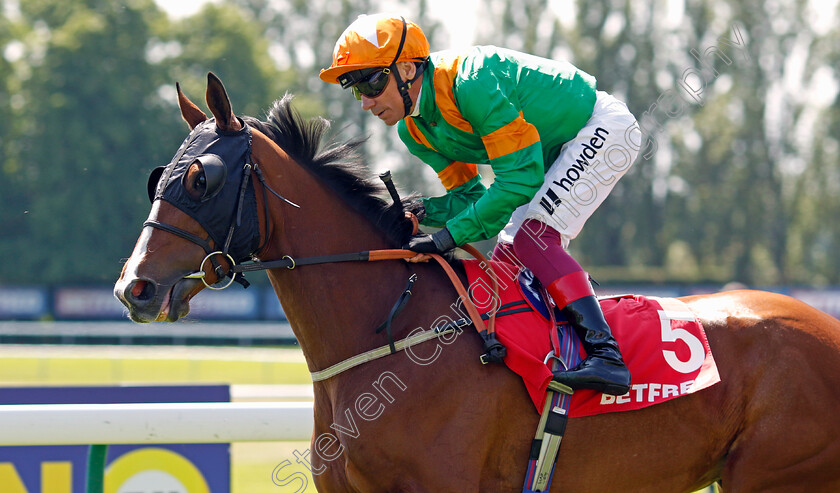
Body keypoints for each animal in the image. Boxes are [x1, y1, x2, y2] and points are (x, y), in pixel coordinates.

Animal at [113, 74, 840, 492]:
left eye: (201, 179)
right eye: (156, 178)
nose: (134, 289)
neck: (391, 337)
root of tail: (826, 325)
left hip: (776, 475)